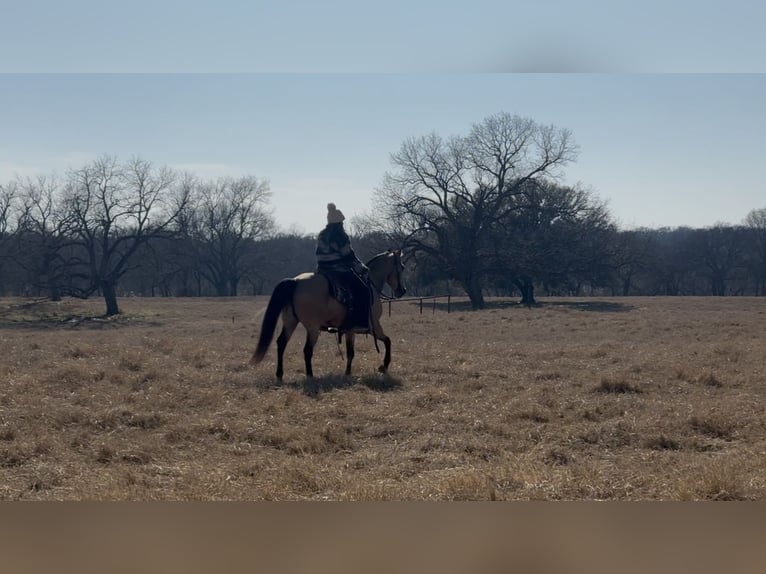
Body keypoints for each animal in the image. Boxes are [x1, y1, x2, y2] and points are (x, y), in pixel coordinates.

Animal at [250, 249, 407, 380]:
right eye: (402, 267)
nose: (402, 291)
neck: (371, 285)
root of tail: (295, 281)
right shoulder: (374, 326)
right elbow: (387, 341)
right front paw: (384, 366)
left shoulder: (350, 330)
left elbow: (351, 352)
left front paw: (348, 373)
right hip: (312, 328)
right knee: (307, 350)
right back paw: (310, 375)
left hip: (290, 321)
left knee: (282, 343)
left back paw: (280, 374)